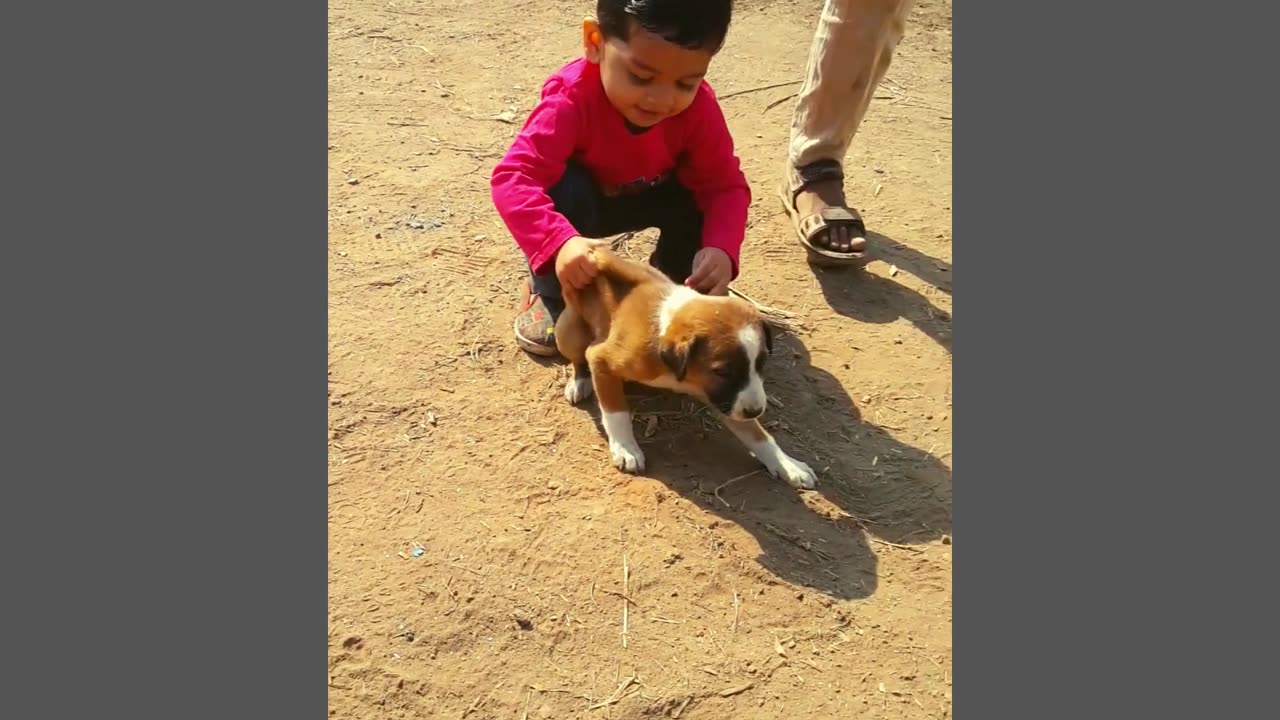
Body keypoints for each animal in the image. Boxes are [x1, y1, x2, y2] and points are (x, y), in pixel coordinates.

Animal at [552, 245, 814, 486]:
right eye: (722, 371)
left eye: (761, 363)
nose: (756, 411)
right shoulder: (601, 359)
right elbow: (616, 412)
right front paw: (625, 448)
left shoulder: (724, 397)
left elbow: (758, 434)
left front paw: (787, 464)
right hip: (569, 335)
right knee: (579, 360)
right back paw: (580, 382)